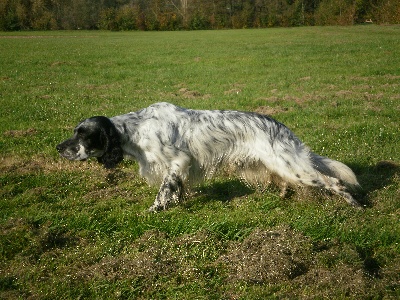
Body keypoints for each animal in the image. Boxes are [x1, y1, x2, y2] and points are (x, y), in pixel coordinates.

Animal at [54, 102, 360, 210]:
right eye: (74, 132)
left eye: (82, 134)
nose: (59, 147)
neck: (134, 130)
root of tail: (282, 127)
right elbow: (176, 189)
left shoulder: (179, 161)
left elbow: (164, 190)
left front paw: (155, 210)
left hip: (292, 165)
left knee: (334, 182)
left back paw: (355, 206)